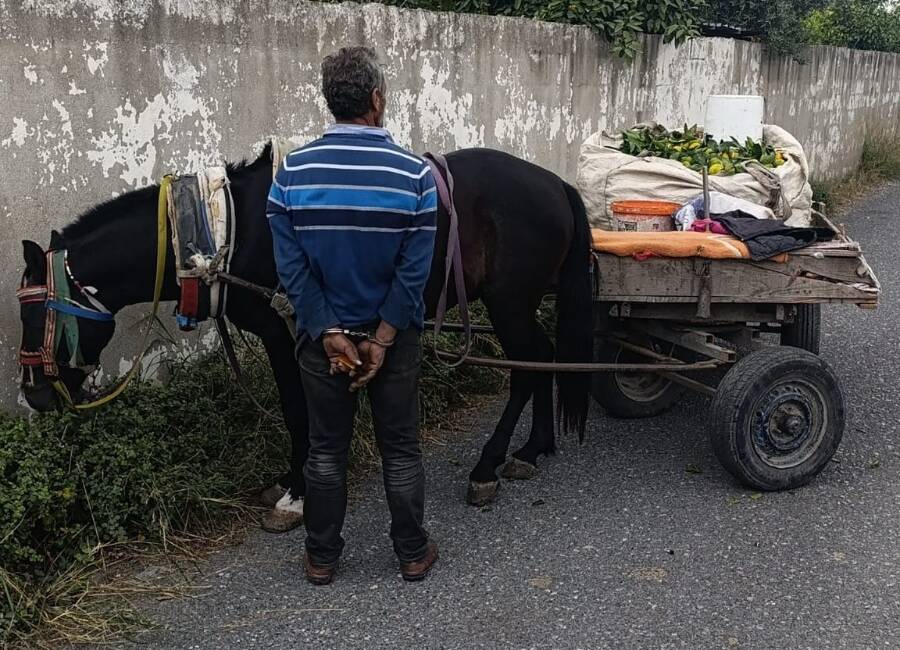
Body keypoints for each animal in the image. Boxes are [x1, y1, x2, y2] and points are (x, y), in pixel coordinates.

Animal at [17, 143, 596, 516]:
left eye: (35, 314)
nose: (37, 395)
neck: (231, 230)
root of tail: (554, 183)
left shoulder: (285, 332)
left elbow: (298, 412)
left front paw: (295, 490)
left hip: (509, 302)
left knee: (525, 367)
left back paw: (488, 465)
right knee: (543, 355)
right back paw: (532, 448)